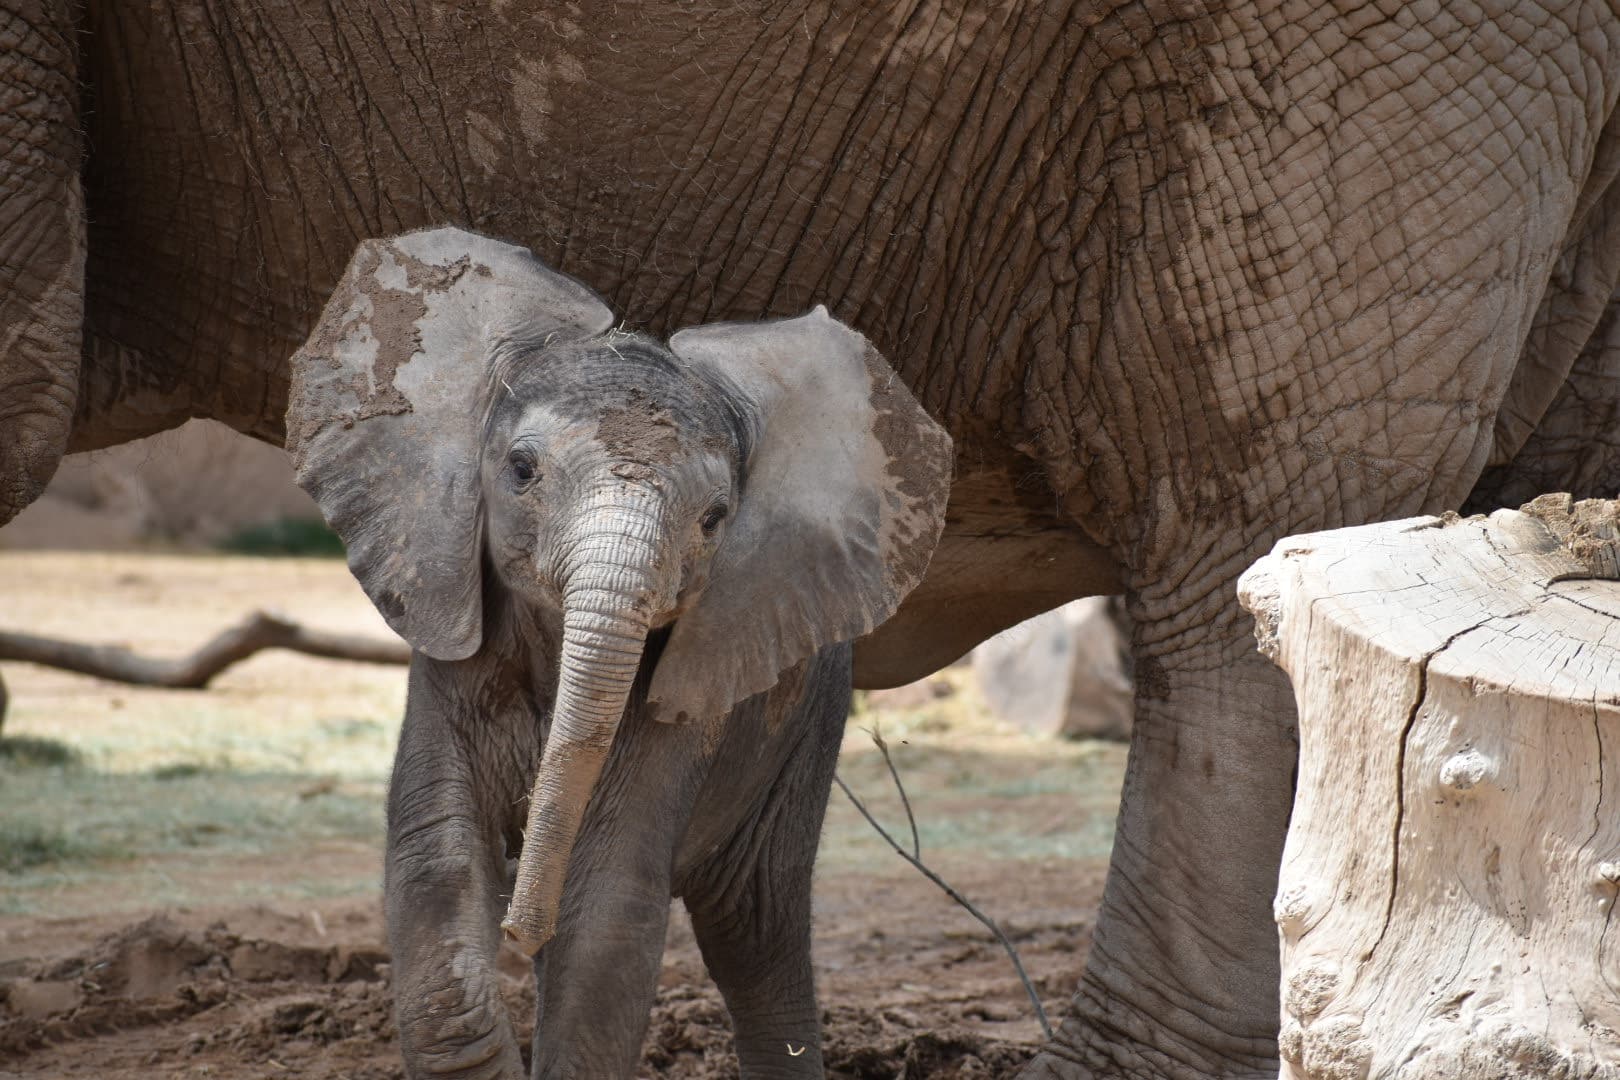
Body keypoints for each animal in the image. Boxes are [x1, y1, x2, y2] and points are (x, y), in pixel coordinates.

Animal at [283, 226, 954, 1077]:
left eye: (714, 517)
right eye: (522, 470)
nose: (517, 927)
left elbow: (607, 904)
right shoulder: (451, 632)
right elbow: (435, 854)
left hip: (805, 725)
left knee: (757, 928)